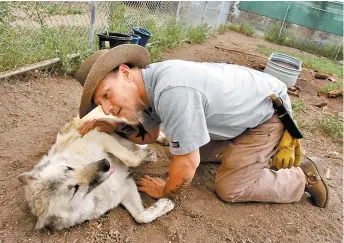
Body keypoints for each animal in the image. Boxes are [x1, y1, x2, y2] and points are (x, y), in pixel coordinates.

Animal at [17, 106, 173, 230]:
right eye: (75, 189)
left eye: (69, 168)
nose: (105, 163)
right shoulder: (125, 188)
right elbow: (141, 217)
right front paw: (166, 205)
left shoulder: (101, 136)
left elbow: (129, 158)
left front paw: (146, 154)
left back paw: (161, 140)